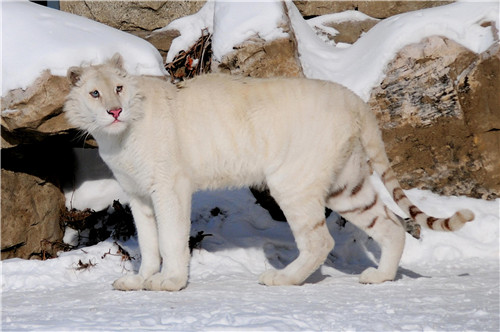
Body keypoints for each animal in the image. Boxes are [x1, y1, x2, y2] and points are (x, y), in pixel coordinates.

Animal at [62, 53, 472, 290]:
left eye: (118, 88)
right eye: (95, 94)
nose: (115, 111)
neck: (117, 138)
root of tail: (355, 100)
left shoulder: (169, 187)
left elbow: (170, 239)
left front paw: (170, 282)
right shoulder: (137, 195)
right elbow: (148, 243)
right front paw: (140, 280)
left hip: (293, 182)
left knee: (320, 240)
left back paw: (282, 278)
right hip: (346, 185)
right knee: (389, 224)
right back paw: (379, 277)